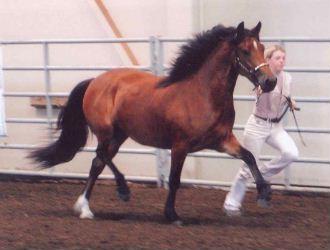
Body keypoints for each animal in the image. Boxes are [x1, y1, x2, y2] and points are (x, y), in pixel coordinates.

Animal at [29, 22, 276, 225]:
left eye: (262, 48)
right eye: (245, 50)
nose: (270, 81)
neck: (202, 94)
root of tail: (94, 81)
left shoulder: (222, 141)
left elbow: (249, 156)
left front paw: (265, 192)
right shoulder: (180, 146)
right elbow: (174, 180)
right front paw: (172, 215)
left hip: (119, 135)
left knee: (97, 163)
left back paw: (85, 209)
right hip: (106, 132)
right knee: (101, 155)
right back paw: (122, 190)